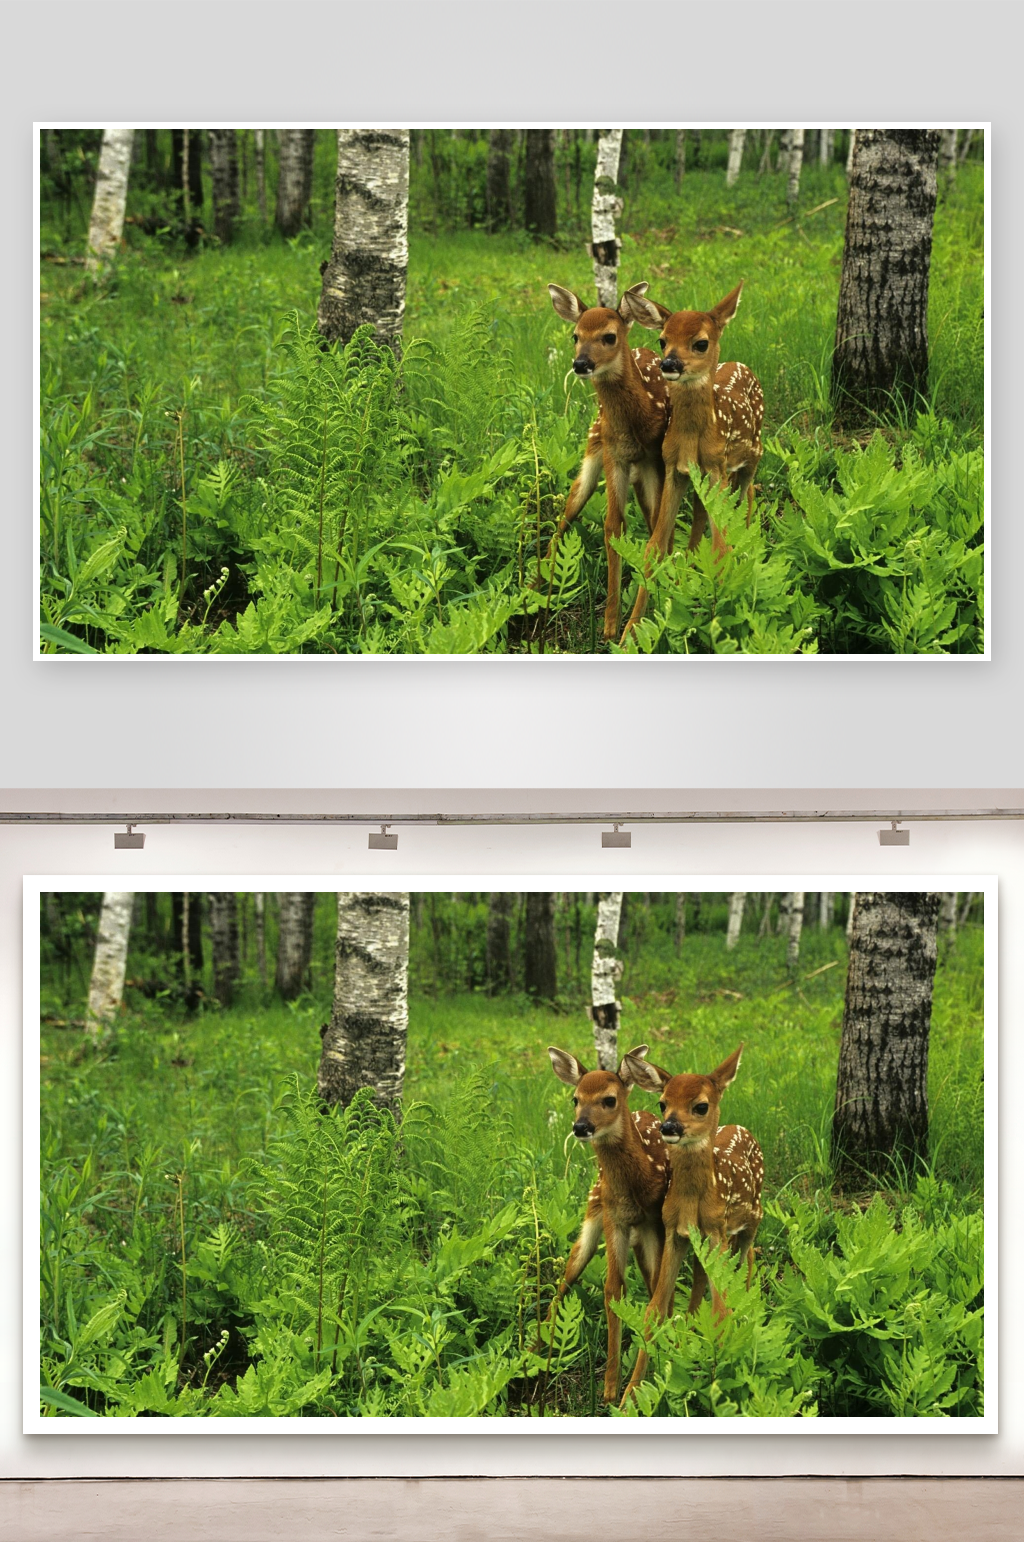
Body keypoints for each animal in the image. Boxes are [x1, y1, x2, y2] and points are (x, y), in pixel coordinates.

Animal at [544, 1043, 670, 1403]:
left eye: (609, 1099)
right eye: (575, 1099)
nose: (581, 1126)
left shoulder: (654, 1222)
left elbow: (654, 1293)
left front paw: (638, 1384)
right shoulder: (615, 1218)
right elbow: (613, 1288)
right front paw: (610, 1388)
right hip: (593, 1209)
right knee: (566, 1277)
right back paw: (532, 1352)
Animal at [546, 281, 671, 640]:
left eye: (609, 336)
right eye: (575, 335)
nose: (581, 364)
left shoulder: (654, 459)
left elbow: (655, 528)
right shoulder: (615, 455)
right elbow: (613, 526)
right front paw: (609, 625)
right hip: (594, 446)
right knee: (565, 516)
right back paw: (533, 587)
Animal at [616, 1043, 764, 1406]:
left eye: (700, 1106)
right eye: (662, 1102)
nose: (669, 1127)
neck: (694, 1202)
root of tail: (743, 1128)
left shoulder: (717, 1230)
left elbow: (722, 1310)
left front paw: (723, 1386)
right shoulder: (675, 1233)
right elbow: (655, 1310)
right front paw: (629, 1397)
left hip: (753, 1217)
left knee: (749, 1257)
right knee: (705, 1279)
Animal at [618, 283, 764, 642]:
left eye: (700, 342)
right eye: (662, 339)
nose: (669, 363)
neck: (694, 439)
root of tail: (742, 364)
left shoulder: (716, 467)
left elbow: (722, 547)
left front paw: (722, 622)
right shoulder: (675, 470)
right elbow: (655, 546)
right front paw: (629, 633)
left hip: (752, 455)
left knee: (749, 493)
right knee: (704, 517)